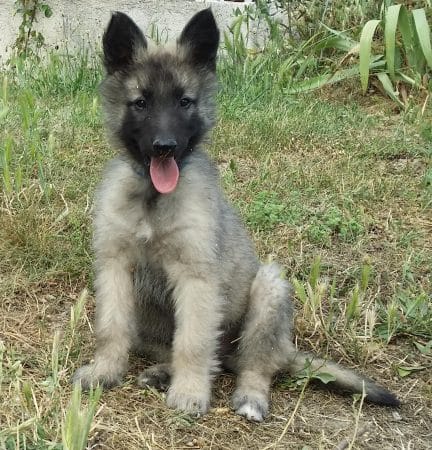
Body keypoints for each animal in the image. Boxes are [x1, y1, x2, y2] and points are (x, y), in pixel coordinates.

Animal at [72, 7, 400, 422]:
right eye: (141, 103)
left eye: (184, 102)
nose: (165, 147)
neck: (153, 198)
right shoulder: (116, 266)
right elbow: (111, 328)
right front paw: (105, 371)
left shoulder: (197, 278)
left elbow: (194, 342)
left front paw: (190, 393)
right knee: (197, 354)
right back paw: (163, 371)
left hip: (269, 290)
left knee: (253, 364)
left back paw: (250, 398)